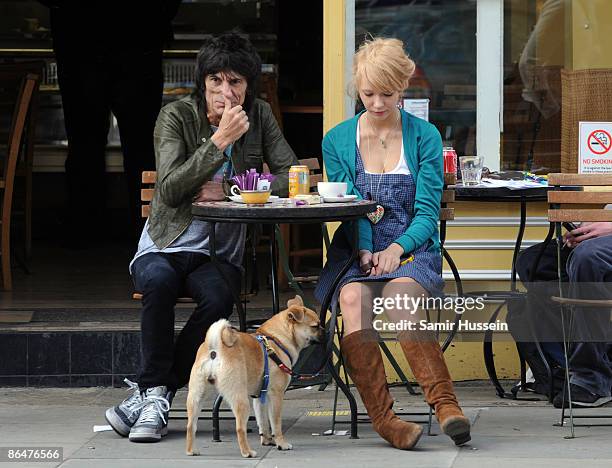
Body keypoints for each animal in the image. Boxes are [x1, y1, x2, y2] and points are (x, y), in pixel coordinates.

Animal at [184, 296, 322, 458]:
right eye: (315, 326)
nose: (325, 331)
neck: (276, 339)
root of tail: (215, 347)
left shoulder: (259, 397)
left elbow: (263, 421)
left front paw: (267, 440)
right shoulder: (276, 395)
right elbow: (276, 423)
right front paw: (281, 443)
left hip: (196, 396)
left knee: (190, 425)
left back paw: (191, 450)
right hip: (240, 398)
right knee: (240, 428)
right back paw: (247, 452)